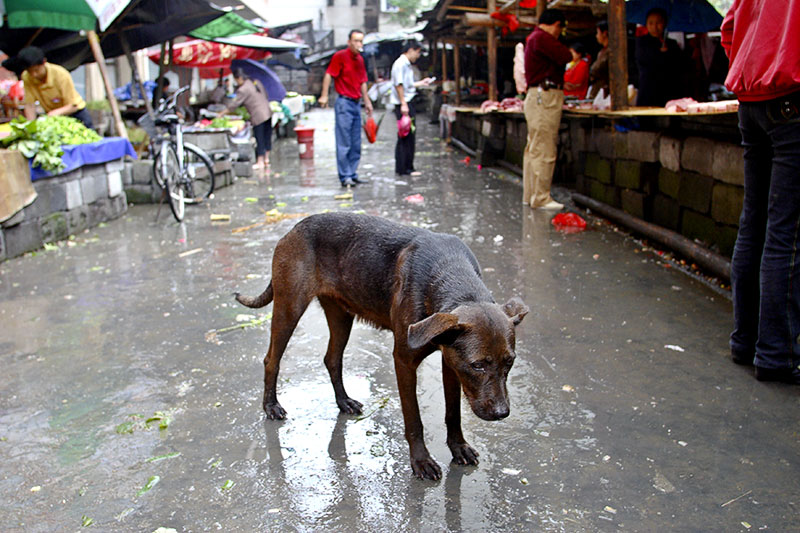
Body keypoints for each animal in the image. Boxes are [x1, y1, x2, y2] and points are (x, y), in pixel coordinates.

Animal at [234, 212, 528, 478]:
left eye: (510, 362)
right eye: (478, 365)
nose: (502, 413)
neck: (451, 277)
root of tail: (294, 228)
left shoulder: (451, 362)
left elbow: (453, 413)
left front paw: (458, 448)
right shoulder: (405, 362)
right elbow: (414, 419)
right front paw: (421, 461)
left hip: (341, 316)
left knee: (332, 359)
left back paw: (343, 401)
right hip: (289, 308)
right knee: (271, 359)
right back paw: (271, 406)